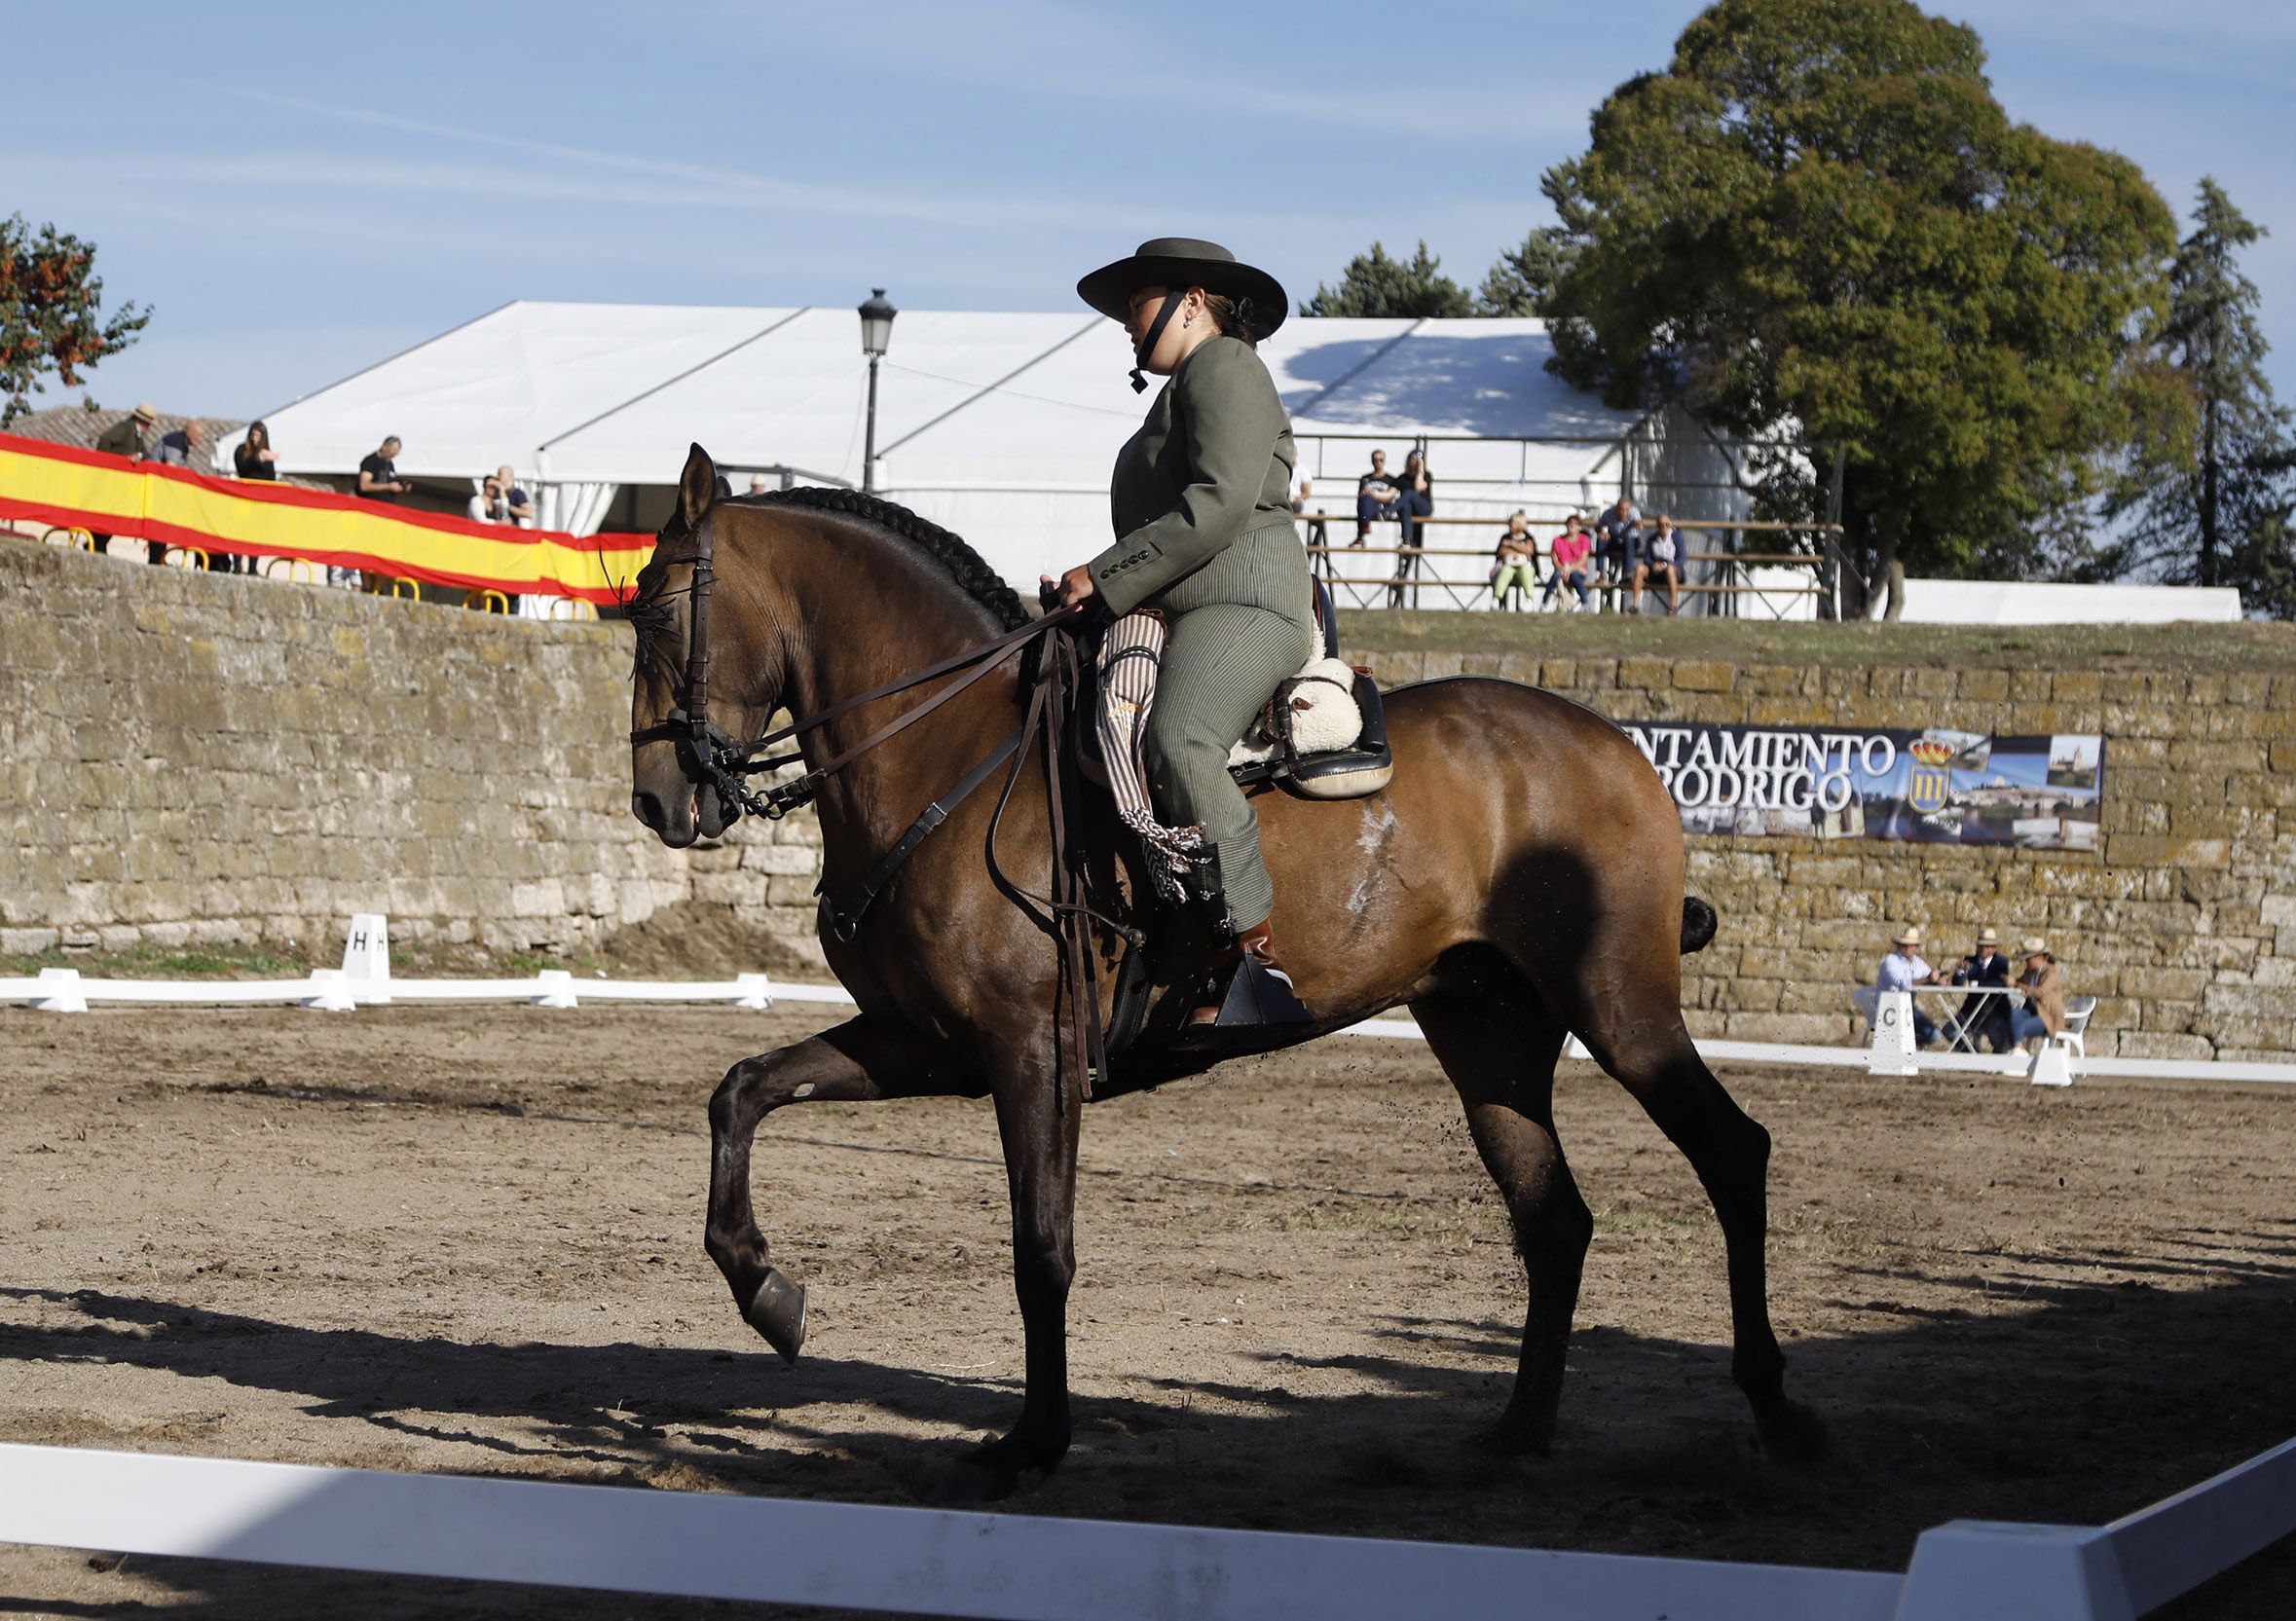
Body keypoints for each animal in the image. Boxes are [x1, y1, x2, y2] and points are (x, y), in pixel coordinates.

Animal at [633, 447, 1827, 1496]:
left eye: (657, 610)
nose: (657, 800)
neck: (946, 755)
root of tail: (1618, 744)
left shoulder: (1030, 1056)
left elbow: (1041, 1250)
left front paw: (1032, 1443)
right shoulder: (924, 1043)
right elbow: (741, 1091)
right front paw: (766, 1290)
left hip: (1618, 1005)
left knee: (1732, 1154)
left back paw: (1775, 1410)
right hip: (1489, 1031)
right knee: (1555, 1218)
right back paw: (1520, 1431)